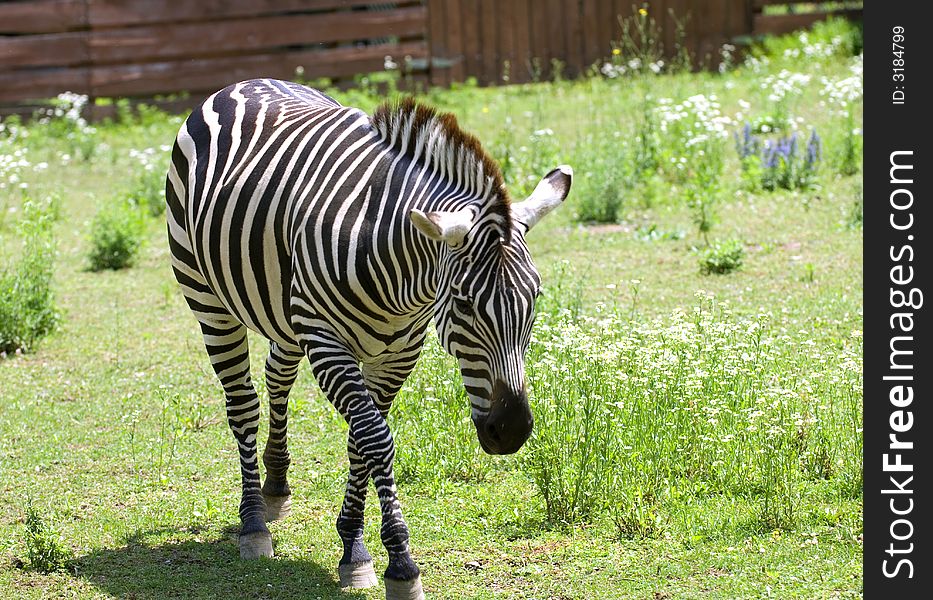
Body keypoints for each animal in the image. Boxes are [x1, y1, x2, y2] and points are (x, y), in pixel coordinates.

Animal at [167, 77, 572, 596]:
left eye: (535, 298)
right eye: (463, 304)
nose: (513, 430)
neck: (399, 275)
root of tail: (247, 82)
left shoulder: (399, 352)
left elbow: (360, 440)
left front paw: (353, 545)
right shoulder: (326, 342)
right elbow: (375, 438)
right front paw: (399, 563)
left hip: (285, 309)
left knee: (277, 377)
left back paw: (275, 486)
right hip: (207, 297)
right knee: (242, 404)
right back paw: (254, 522)